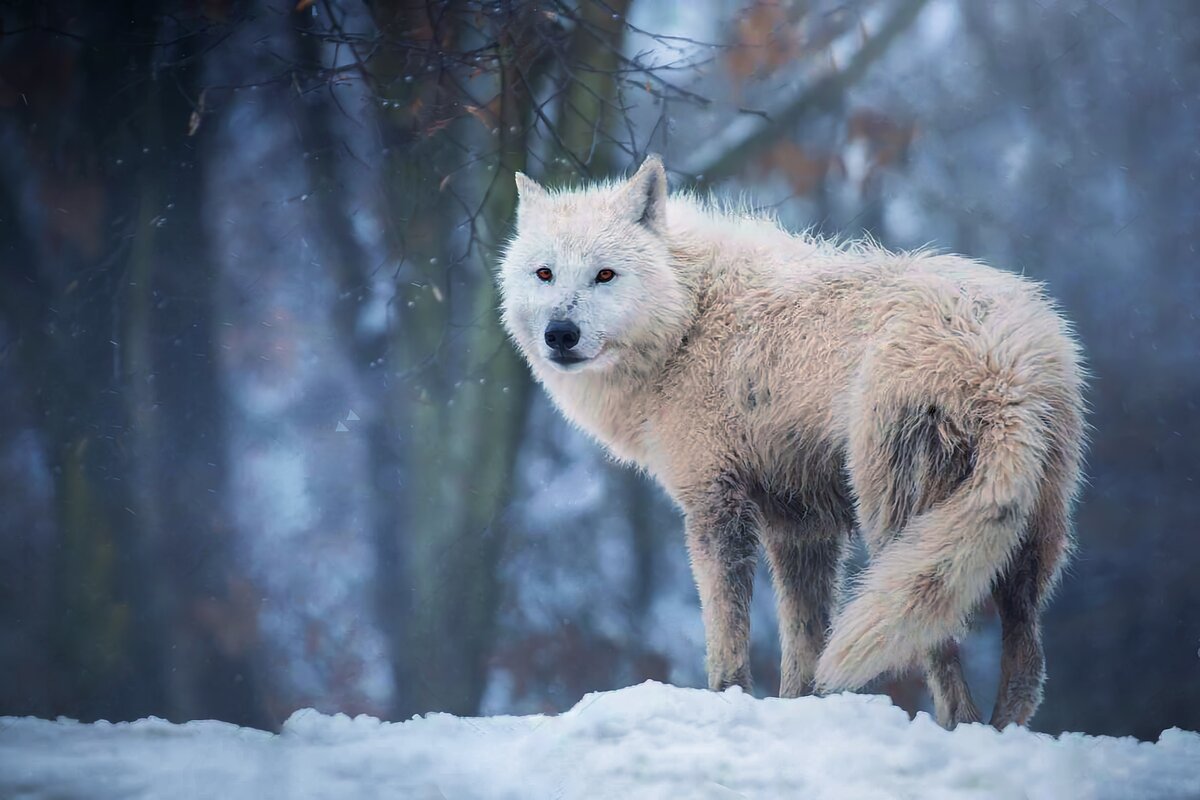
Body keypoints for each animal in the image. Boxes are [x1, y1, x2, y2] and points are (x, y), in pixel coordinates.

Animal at [496, 153, 1089, 729]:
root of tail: (1002, 368)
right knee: (1027, 662)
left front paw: (730, 702)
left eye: (605, 275)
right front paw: (802, 709)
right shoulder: (801, 526)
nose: (560, 334)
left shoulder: (715, 505)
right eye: (544, 274)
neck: (690, 320)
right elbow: (804, 648)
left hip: (897, 533)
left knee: (939, 653)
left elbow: (728, 640)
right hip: (1022, 545)